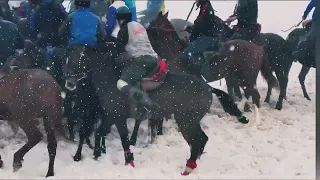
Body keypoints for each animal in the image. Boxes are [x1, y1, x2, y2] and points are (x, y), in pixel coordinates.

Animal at [64, 44, 250, 175]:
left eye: (75, 61)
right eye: (67, 60)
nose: (69, 83)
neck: (109, 78)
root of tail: (208, 88)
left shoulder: (117, 116)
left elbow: (123, 139)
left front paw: (129, 162)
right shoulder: (110, 115)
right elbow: (99, 132)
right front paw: (96, 154)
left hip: (186, 121)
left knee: (198, 140)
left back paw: (188, 168)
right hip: (189, 121)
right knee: (201, 140)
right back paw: (194, 161)